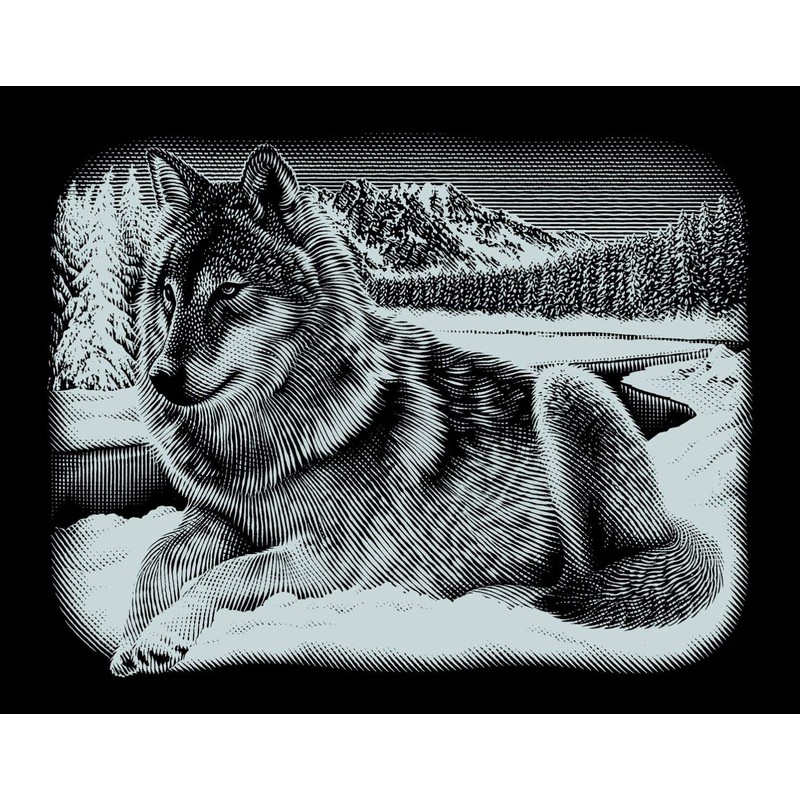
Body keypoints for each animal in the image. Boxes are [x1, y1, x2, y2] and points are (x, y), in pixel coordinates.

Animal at [110, 144, 722, 675]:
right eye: (169, 295)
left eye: (228, 291)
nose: (160, 378)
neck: (259, 437)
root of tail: (674, 525)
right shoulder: (223, 517)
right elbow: (157, 560)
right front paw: (133, 634)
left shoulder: (347, 555)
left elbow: (221, 577)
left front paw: (160, 638)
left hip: (565, 385)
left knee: (582, 576)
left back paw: (497, 595)